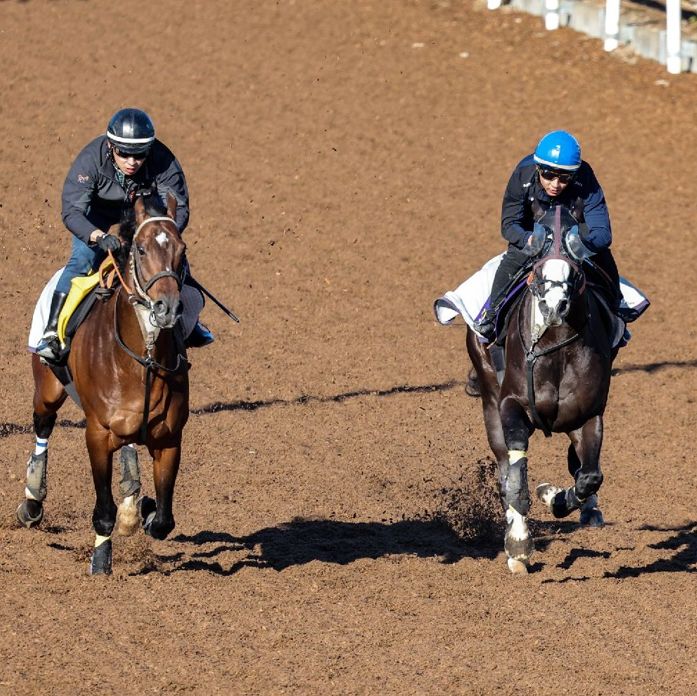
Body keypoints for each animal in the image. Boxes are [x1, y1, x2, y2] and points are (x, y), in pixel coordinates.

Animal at [18, 193, 190, 575]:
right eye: (141, 248)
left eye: (181, 249)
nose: (167, 308)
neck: (143, 359)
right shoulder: (96, 433)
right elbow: (103, 510)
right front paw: (100, 561)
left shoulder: (170, 438)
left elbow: (164, 520)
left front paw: (141, 511)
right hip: (47, 388)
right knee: (43, 426)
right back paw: (32, 501)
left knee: (128, 448)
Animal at [467, 202, 617, 574]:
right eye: (538, 259)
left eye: (576, 267)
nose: (553, 306)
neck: (554, 348)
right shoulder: (511, 405)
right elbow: (515, 479)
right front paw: (518, 546)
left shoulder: (588, 415)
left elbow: (589, 476)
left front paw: (553, 495)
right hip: (489, 399)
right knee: (505, 470)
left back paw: (589, 511)